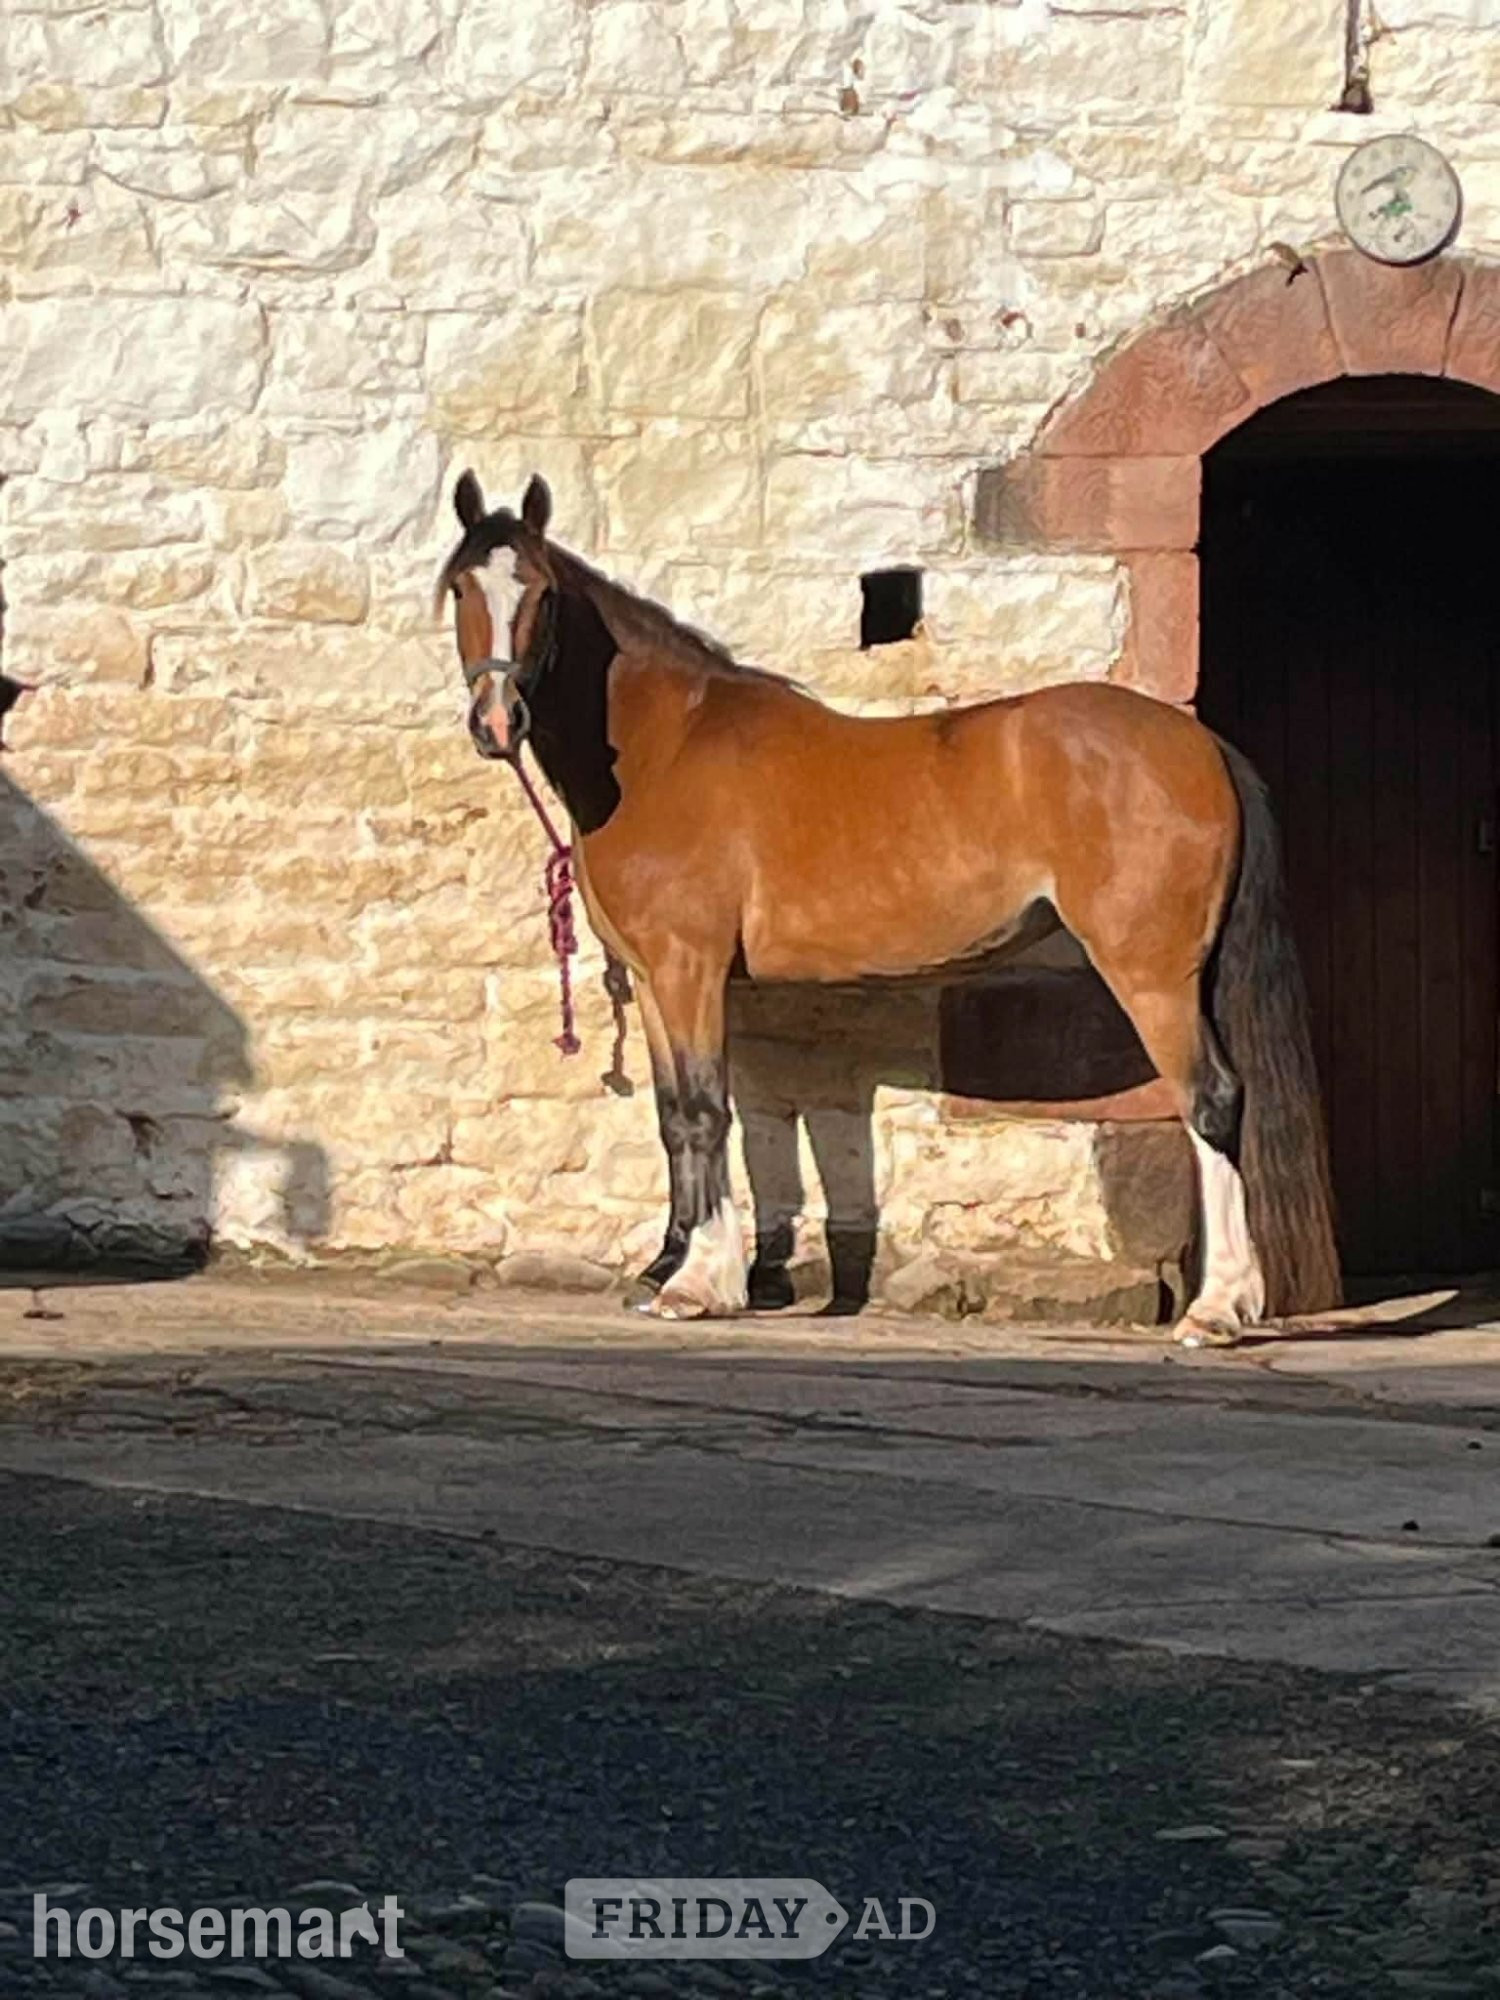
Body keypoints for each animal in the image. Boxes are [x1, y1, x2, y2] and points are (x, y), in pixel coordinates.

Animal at [436, 470, 1341, 1346]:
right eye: (459, 589)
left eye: (541, 592)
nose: (496, 722)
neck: (664, 749)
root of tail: (1200, 744)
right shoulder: (656, 981)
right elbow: (672, 1120)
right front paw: (674, 1268)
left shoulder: (690, 971)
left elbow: (706, 1111)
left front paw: (701, 1285)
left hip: (1153, 975)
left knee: (1212, 1100)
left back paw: (1216, 1309)